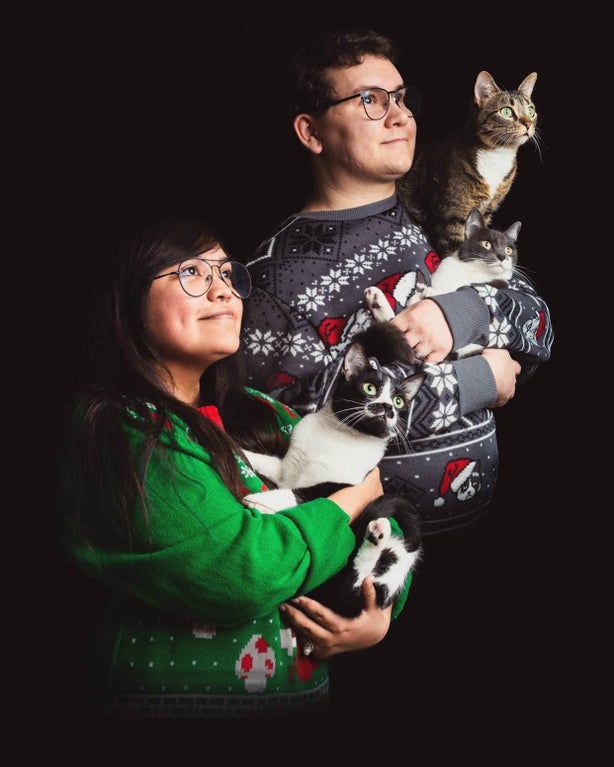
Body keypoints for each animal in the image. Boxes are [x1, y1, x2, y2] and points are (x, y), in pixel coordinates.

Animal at [242, 320, 428, 620]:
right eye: (369, 388)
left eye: (399, 402)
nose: (387, 408)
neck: (340, 435)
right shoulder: (286, 468)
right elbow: (271, 463)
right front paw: (242, 451)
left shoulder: (347, 484)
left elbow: (304, 492)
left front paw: (262, 500)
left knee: (353, 592)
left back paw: (375, 537)